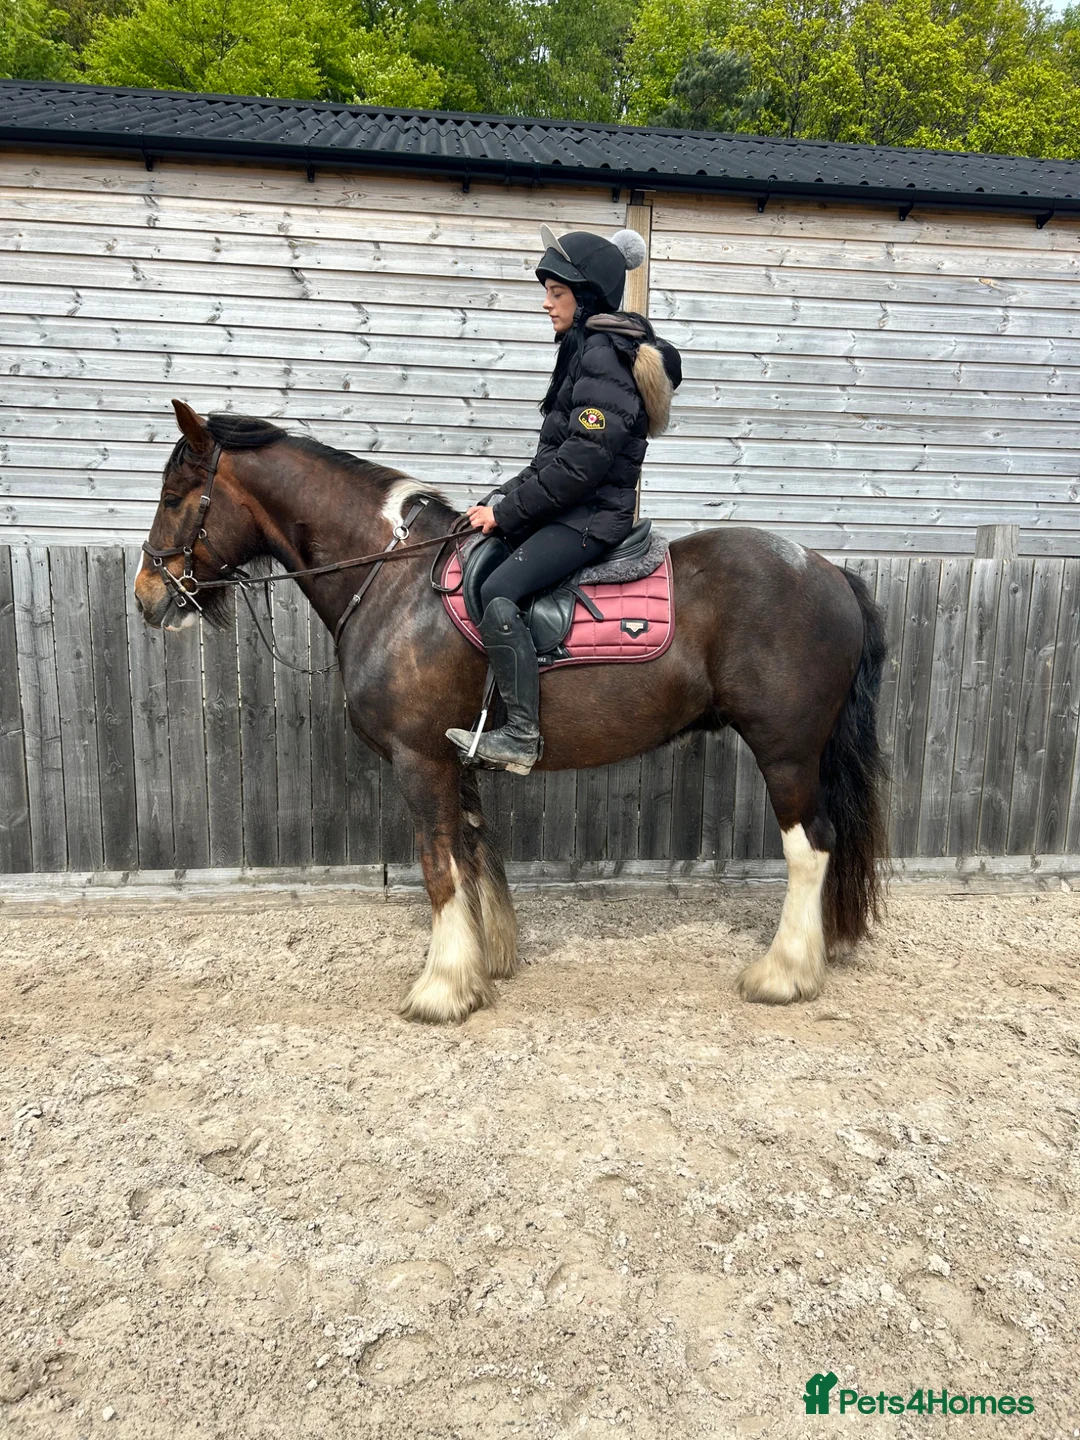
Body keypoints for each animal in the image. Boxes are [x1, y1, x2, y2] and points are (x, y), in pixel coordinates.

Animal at [134, 401, 888, 1024]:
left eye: (175, 497)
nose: (147, 595)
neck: (394, 580)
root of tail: (826, 569)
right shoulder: (454, 756)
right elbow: (474, 852)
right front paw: (486, 961)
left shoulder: (417, 759)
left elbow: (438, 865)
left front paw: (442, 988)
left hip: (786, 750)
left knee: (810, 846)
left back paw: (784, 973)